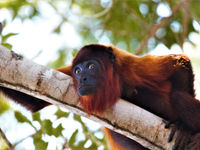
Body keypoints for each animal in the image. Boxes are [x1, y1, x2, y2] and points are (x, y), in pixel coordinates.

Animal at [0, 44, 200, 149]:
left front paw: (183, 127)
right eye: (78, 71)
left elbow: (180, 62)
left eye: (91, 67)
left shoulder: (130, 64)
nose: (82, 79)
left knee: (178, 96)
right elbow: (35, 99)